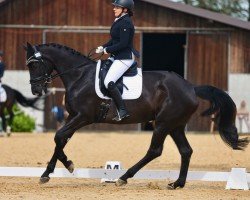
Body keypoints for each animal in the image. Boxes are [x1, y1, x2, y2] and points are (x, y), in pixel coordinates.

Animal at [24, 42, 248, 189]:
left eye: (34, 65)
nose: (36, 90)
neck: (80, 76)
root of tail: (191, 87)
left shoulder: (83, 117)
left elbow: (59, 136)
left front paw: (54, 171)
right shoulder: (72, 117)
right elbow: (61, 139)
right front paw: (59, 168)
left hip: (163, 123)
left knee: (155, 150)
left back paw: (124, 177)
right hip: (175, 125)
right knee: (186, 151)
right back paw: (177, 183)